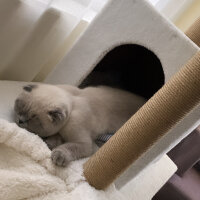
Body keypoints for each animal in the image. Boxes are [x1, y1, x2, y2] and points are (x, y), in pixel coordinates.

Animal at [14, 83, 145, 166]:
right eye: (21, 109)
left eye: (32, 118)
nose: (20, 120)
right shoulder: (61, 132)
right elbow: (56, 138)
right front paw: (49, 143)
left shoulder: (83, 143)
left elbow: (68, 146)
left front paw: (57, 155)